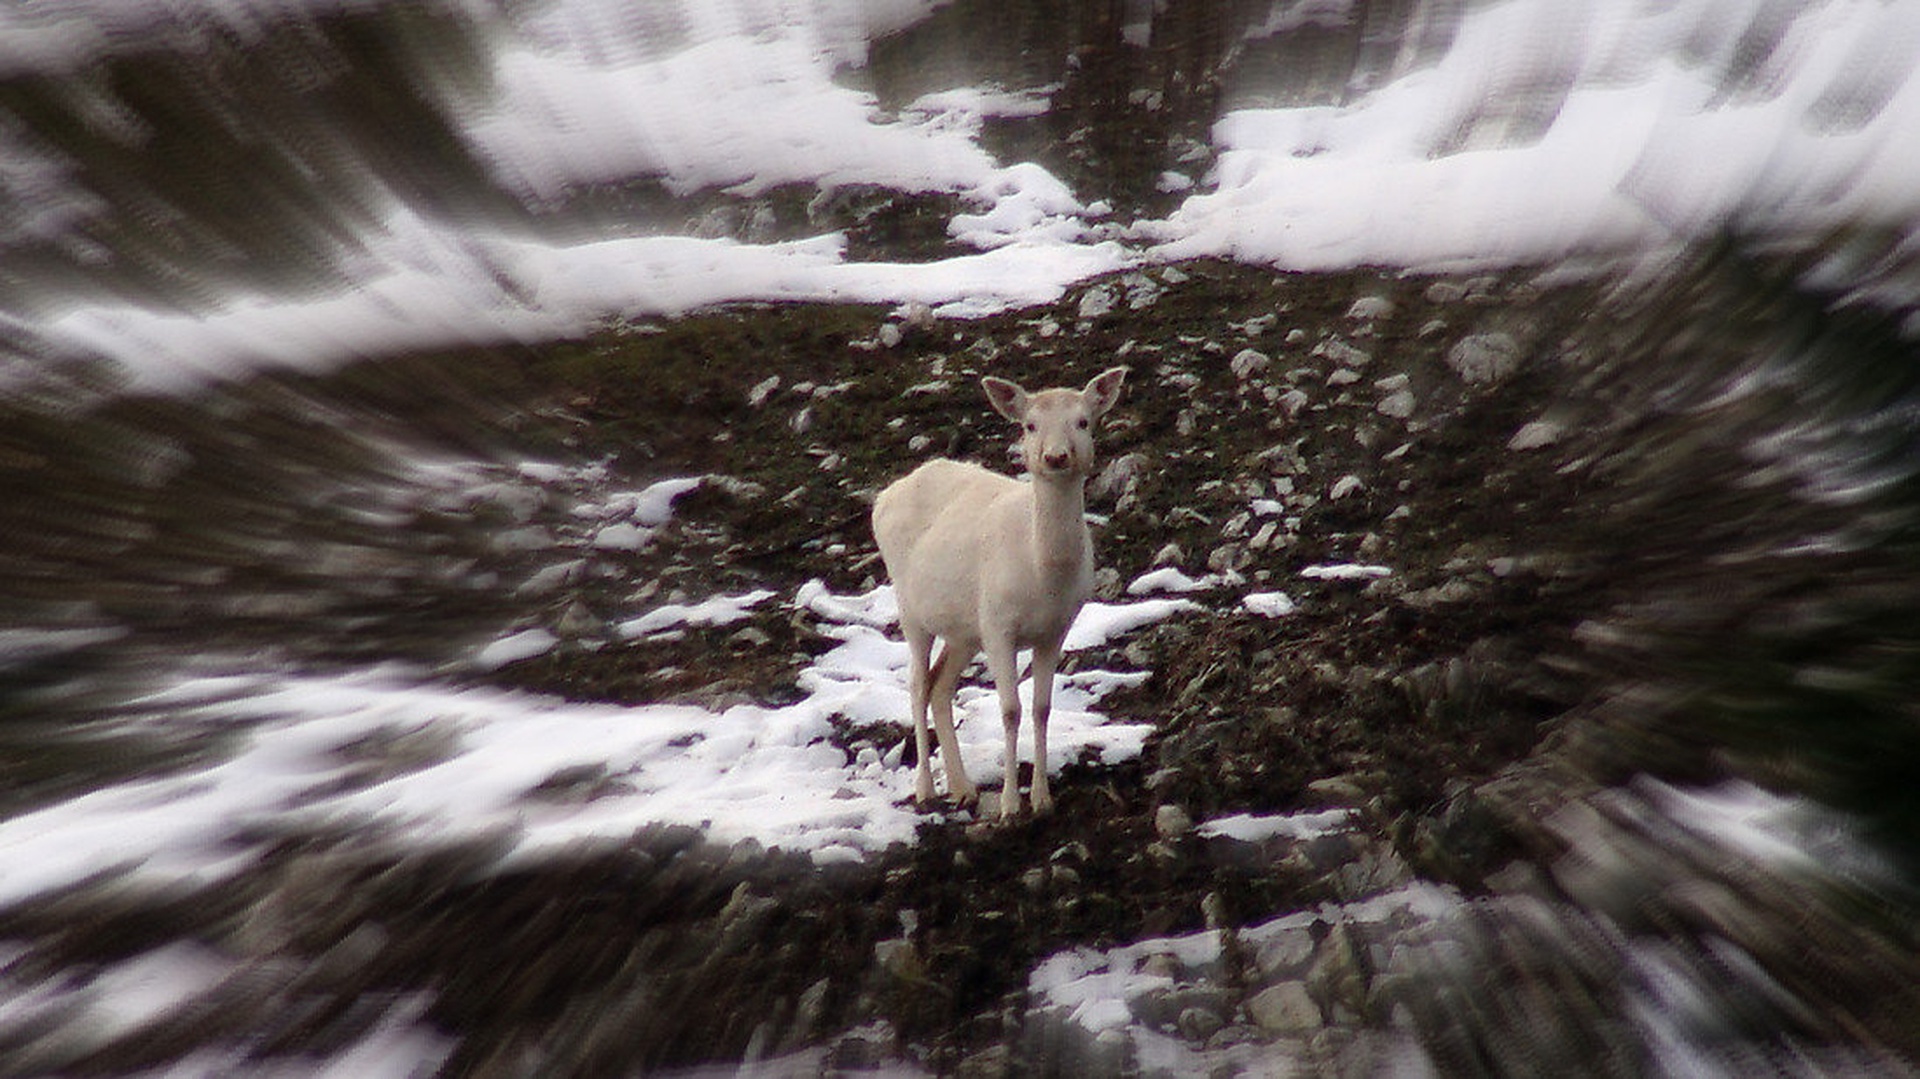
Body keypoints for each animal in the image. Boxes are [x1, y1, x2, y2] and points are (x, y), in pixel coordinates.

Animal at [871, 366, 1128, 819]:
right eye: (1029, 425)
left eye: (1083, 421)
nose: (1056, 457)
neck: (1044, 579)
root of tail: (882, 497)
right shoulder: (998, 625)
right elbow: (1010, 710)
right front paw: (1010, 806)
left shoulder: (1056, 629)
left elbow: (1042, 709)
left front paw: (1042, 799)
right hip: (910, 605)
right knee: (917, 684)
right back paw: (925, 789)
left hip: (964, 629)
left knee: (940, 686)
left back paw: (963, 788)